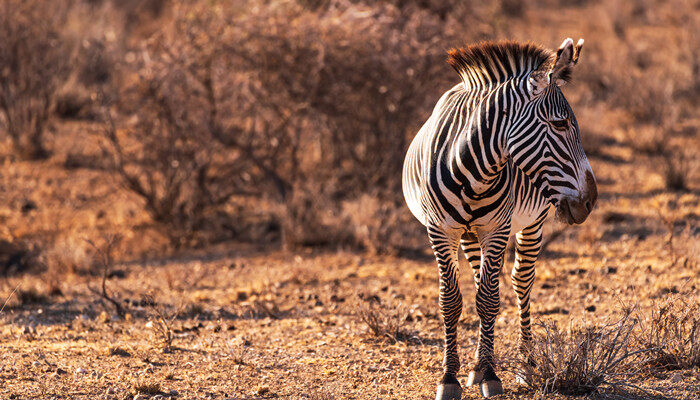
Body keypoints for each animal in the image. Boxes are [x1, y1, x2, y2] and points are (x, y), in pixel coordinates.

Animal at [404, 38, 596, 400]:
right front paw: (450, 378)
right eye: (560, 124)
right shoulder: (439, 230)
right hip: (469, 233)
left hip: (531, 222)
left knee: (520, 282)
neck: (469, 169)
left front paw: (492, 375)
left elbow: (490, 300)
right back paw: (476, 367)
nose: (591, 202)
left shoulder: (498, 228)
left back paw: (524, 366)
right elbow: (452, 301)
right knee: (481, 280)